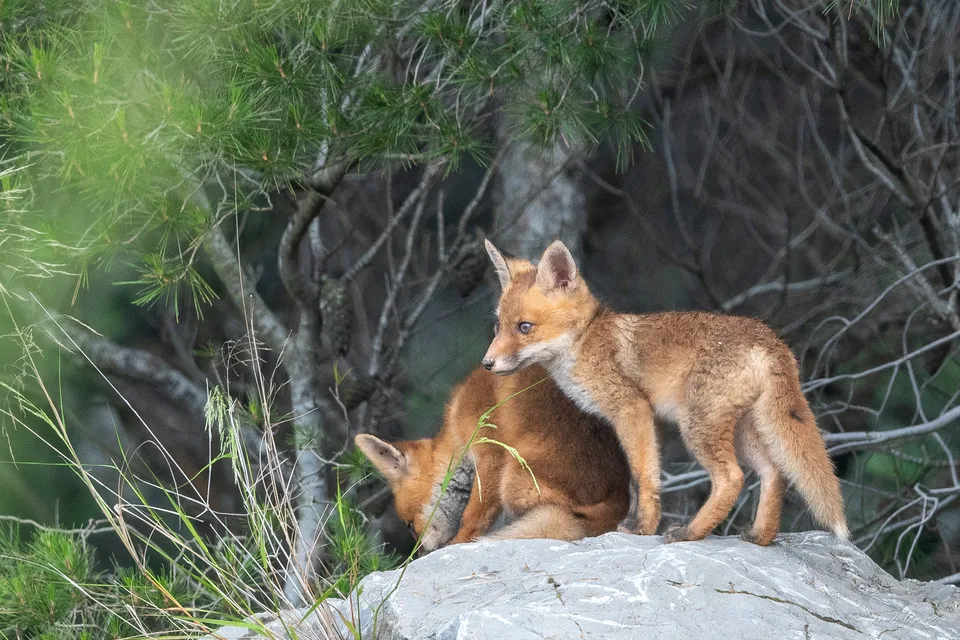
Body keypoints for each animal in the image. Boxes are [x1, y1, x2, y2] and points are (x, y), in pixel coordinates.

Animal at [354, 364, 630, 553]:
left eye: (410, 525)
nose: (419, 557)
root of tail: (617, 503)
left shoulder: (490, 452)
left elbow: (474, 516)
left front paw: (458, 544)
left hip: (512, 478)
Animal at [480, 238, 849, 546]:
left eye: (525, 327)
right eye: (498, 325)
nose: (487, 363)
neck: (585, 340)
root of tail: (771, 338)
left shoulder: (631, 408)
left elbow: (643, 476)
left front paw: (643, 527)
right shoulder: (642, 419)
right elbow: (643, 477)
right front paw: (639, 523)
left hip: (698, 426)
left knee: (732, 478)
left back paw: (691, 532)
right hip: (743, 430)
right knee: (774, 473)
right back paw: (760, 536)